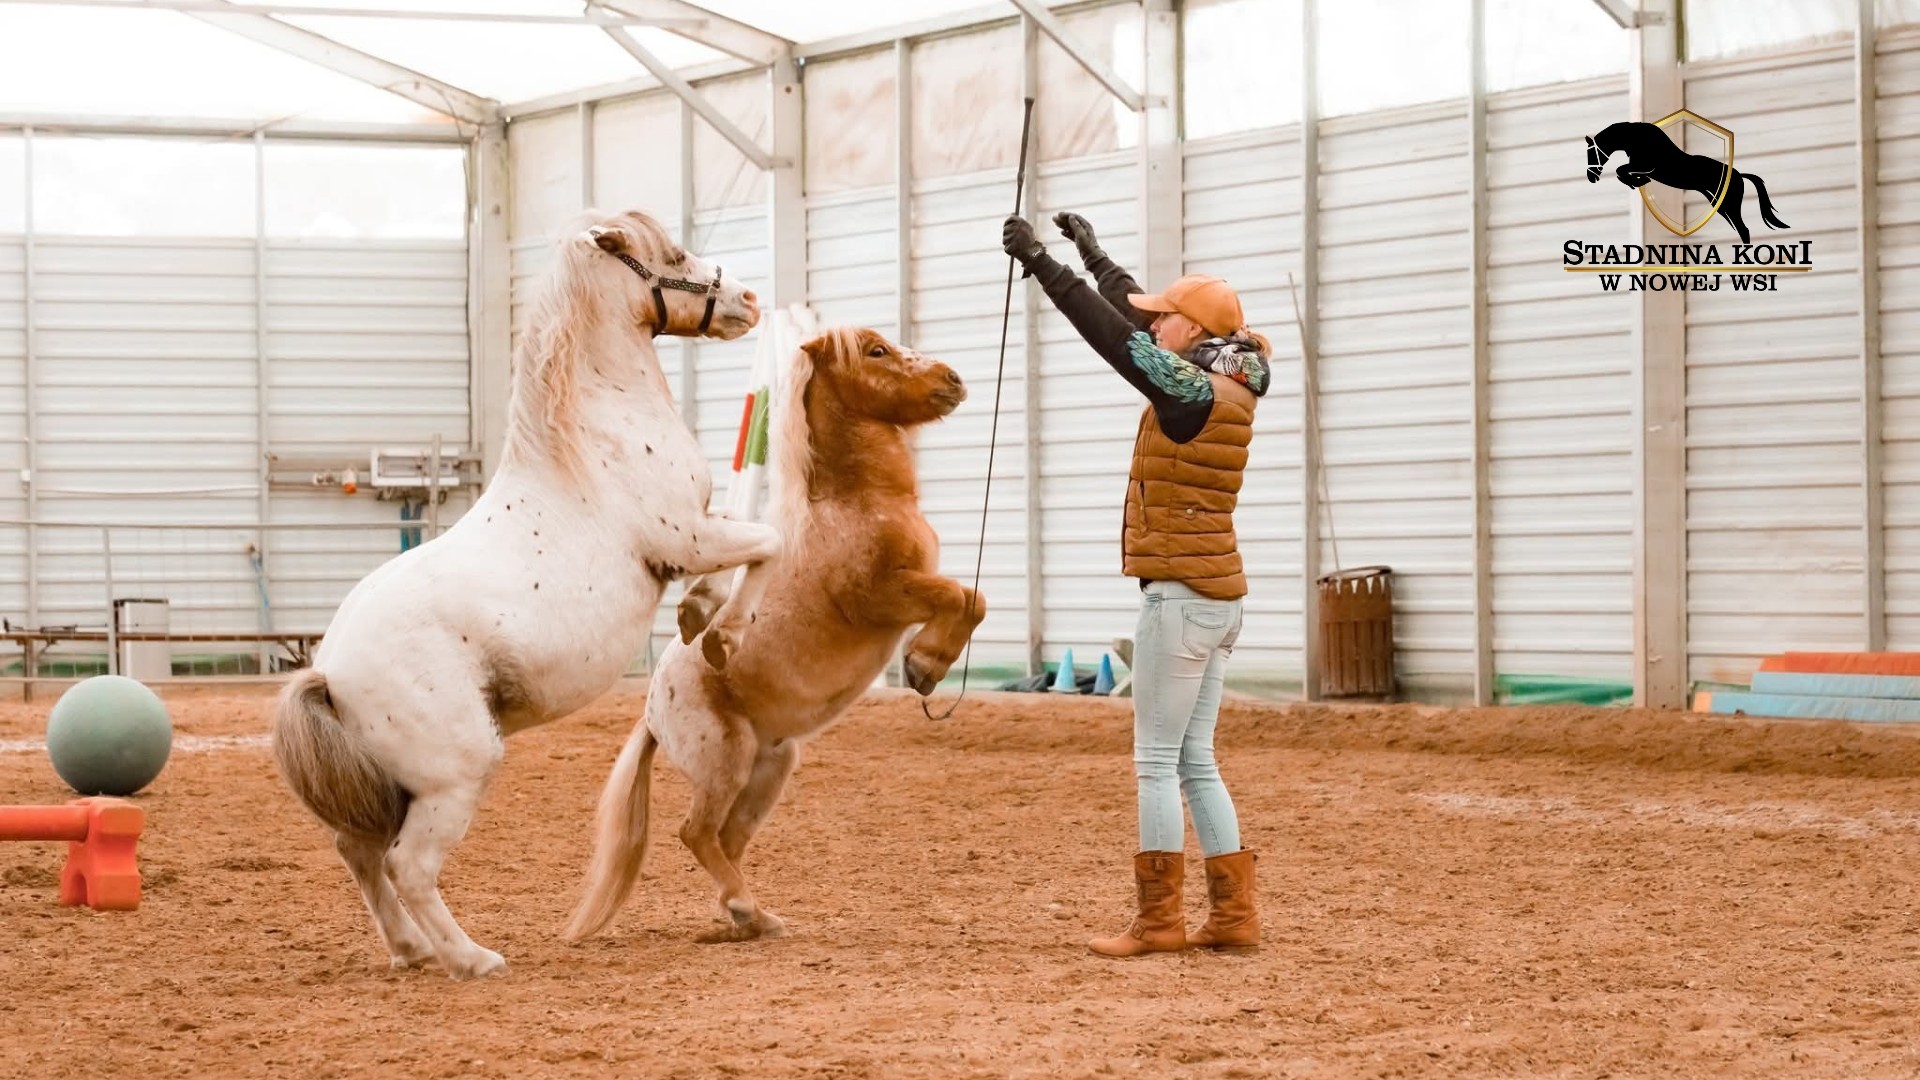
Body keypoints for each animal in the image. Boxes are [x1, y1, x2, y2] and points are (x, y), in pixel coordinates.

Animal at [270, 208, 784, 980]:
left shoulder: (698, 534)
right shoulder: (688, 538)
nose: (747, 300)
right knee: (408, 866)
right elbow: (770, 542)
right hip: (455, 777)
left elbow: (749, 544)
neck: (600, 434)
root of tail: (329, 671)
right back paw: (473, 958)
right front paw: (718, 631)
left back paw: (412, 951)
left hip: (398, 788)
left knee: (360, 853)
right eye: (672, 255)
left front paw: (702, 617)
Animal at [563, 325, 985, 945]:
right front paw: (924, 664)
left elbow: (970, 600)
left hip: (770, 769)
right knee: (695, 832)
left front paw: (925, 666)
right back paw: (744, 908)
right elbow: (963, 597)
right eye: (877, 351)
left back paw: (750, 918)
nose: (952, 379)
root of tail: (652, 713)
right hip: (727, 761)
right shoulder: (879, 597)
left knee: (727, 841)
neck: (856, 505)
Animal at [1585, 120, 1789, 244]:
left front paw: (1639, 180)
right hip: (1719, 205)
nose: (1591, 177)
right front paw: (1638, 181)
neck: (1639, 139)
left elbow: (1621, 170)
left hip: (1729, 205)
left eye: (1592, 153)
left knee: (1743, 229)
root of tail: (1739, 175)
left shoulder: (1645, 165)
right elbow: (1622, 171)